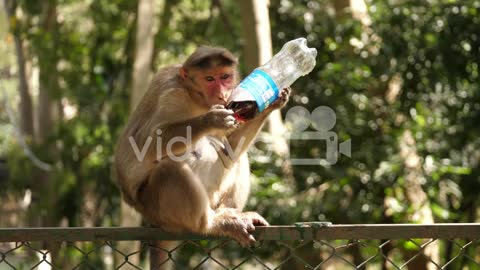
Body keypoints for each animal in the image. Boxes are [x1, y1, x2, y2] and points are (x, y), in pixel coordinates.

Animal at [114, 46, 290, 266]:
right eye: (209, 79)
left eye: (225, 76)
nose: (222, 93)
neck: (195, 97)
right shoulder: (172, 94)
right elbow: (146, 141)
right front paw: (211, 119)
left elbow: (230, 148)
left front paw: (273, 100)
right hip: (157, 210)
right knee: (170, 169)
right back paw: (211, 224)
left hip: (212, 198)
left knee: (237, 158)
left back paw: (229, 213)